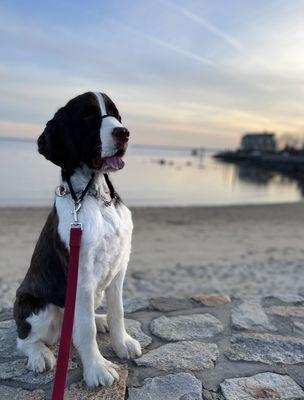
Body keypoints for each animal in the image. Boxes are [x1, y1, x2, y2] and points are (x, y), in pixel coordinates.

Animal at [13, 91, 142, 388]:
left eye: (115, 114)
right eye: (87, 116)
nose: (124, 132)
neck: (96, 197)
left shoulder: (120, 266)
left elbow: (118, 311)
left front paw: (122, 343)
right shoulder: (82, 275)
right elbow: (85, 329)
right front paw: (97, 368)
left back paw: (100, 318)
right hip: (36, 308)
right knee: (24, 340)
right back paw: (39, 355)